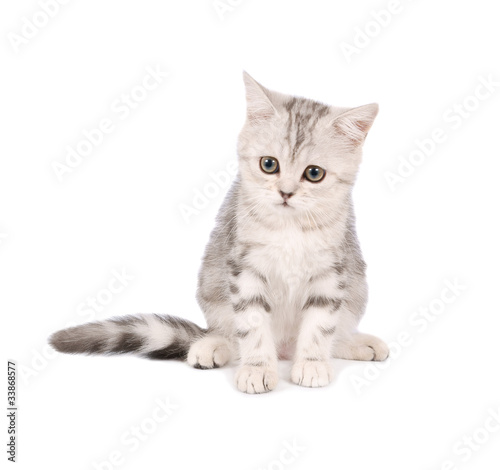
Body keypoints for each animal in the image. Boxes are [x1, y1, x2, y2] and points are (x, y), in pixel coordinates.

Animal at [48, 70, 388, 392]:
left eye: (314, 173)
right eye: (269, 164)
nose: (286, 192)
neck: (288, 227)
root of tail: (284, 350)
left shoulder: (332, 270)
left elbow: (320, 325)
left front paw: (313, 363)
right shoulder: (245, 268)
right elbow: (251, 324)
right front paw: (257, 368)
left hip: (357, 291)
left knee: (334, 332)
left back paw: (357, 343)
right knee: (229, 336)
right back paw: (210, 346)